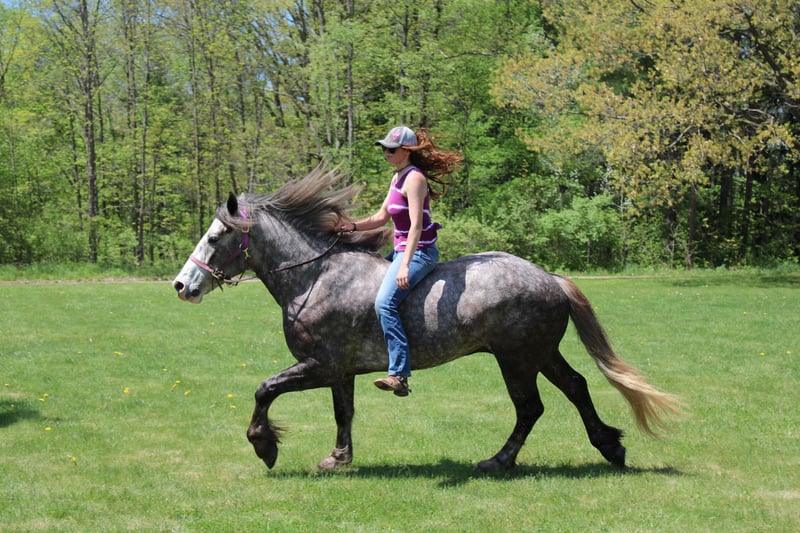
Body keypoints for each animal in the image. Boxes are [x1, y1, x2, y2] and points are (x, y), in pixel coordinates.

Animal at [172, 166, 680, 472]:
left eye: (215, 237)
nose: (181, 286)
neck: (315, 277)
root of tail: (550, 278)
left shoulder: (320, 365)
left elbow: (265, 390)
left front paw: (265, 444)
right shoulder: (340, 371)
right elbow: (343, 412)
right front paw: (339, 458)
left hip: (517, 359)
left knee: (530, 408)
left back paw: (499, 460)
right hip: (539, 353)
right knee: (575, 388)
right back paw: (610, 446)